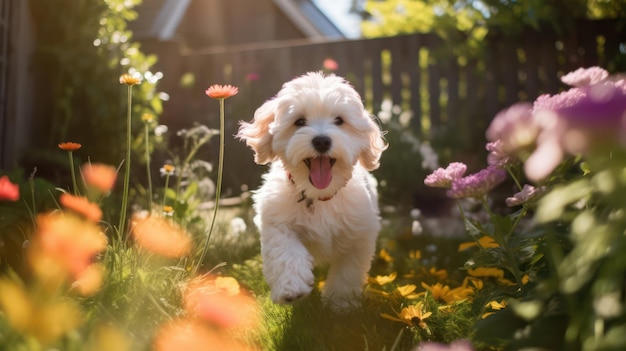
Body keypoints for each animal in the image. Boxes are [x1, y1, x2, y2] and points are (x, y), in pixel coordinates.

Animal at [236, 72, 386, 310]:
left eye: (339, 121)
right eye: (299, 121)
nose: (322, 141)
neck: (318, 196)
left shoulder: (360, 234)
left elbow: (348, 271)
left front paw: (341, 304)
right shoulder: (277, 222)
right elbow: (286, 252)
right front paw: (291, 289)